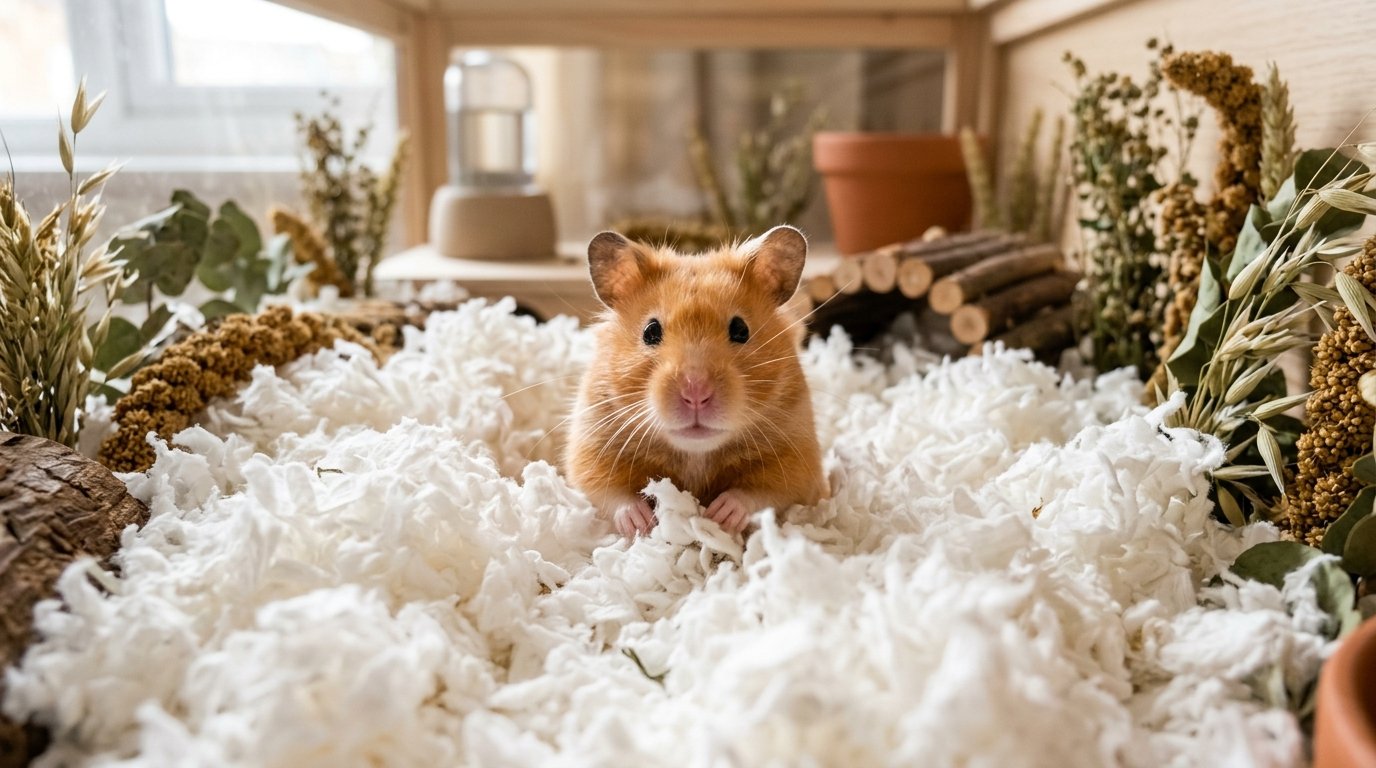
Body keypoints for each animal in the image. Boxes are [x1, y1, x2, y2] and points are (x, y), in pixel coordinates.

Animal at [564, 225, 827, 538]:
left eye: (741, 330)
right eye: (650, 331)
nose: (696, 393)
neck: (695, 454)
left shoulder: (798, 461)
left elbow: (763, 493)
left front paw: (719, 516)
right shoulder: (591, 446)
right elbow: (608, 491)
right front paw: (643, 523)